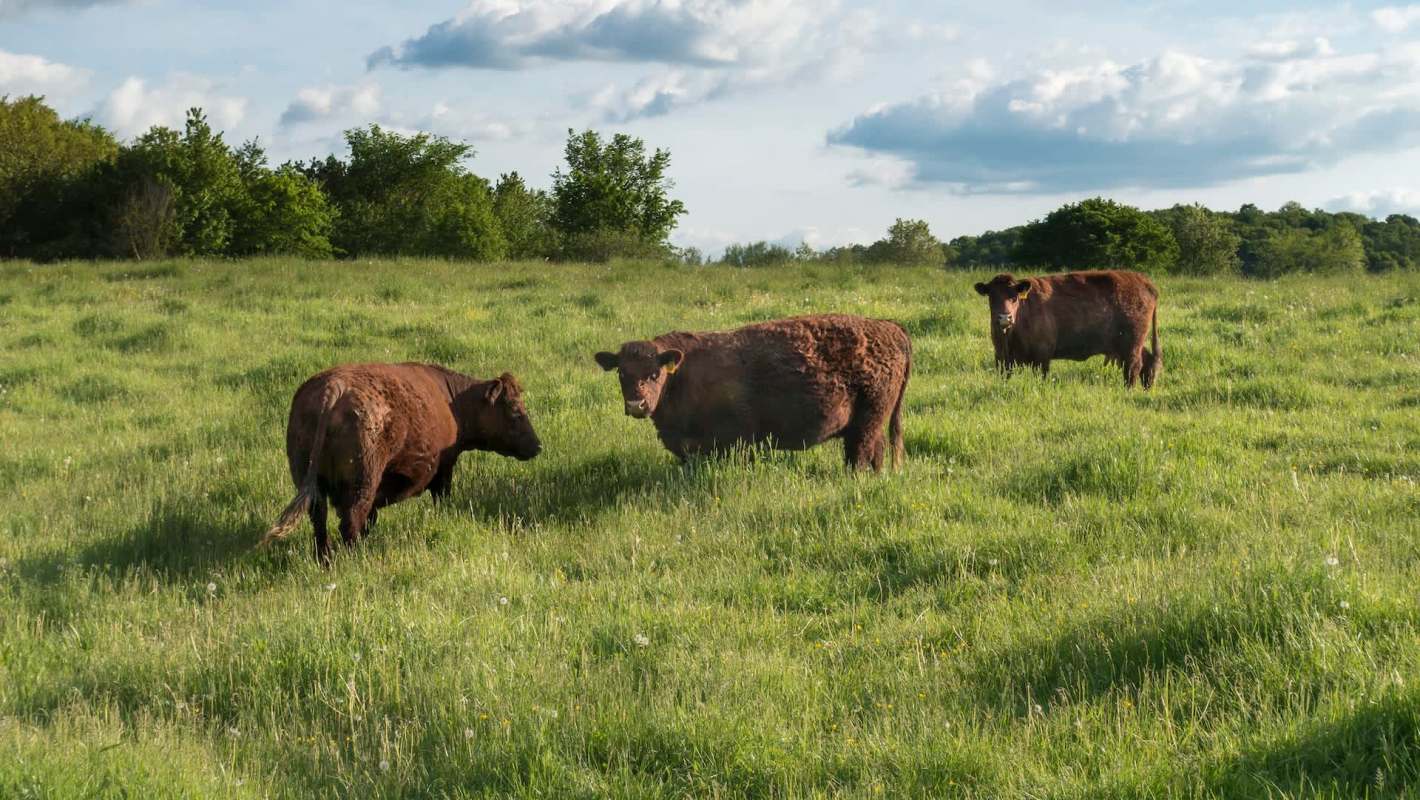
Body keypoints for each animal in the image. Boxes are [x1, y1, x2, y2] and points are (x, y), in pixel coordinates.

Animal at [260, 363, 541, 564]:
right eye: (515, 411)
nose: (537, 446)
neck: (452, 401)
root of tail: (333, 388)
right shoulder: (444, 469)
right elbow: (441, 496)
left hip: (312, 483)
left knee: (319, 519)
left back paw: (325, 560)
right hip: (363, 482)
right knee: (350, 521)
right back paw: (356, 559)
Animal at [594, 314, 912, 471]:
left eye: (655, 373)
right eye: (622, 373)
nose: (636, 404)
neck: (682, 374)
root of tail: (889, 327)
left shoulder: (734, 439)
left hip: (868, 421)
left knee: (861, 454)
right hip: (869, 422)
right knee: (876, 451)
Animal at [974, 270, 1161, 388]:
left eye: (1014, 297)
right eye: (992, 296)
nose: (1004, 318)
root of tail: (1144, 282)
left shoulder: (1042, 356)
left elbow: (1041, 377)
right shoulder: (1001, 357)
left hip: (1132, 344)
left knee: (1134, 366)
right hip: (1127, 344)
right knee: (1147, 361)